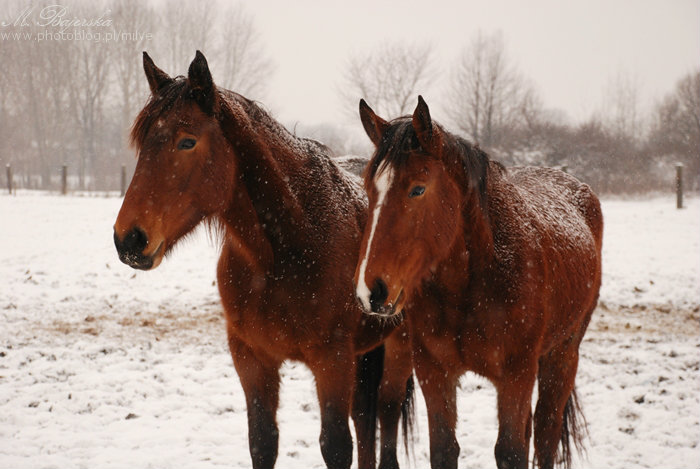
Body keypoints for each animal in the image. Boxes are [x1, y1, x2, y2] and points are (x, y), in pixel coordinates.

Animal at [112, 51, 412, 468]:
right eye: (143, 143)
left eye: (187, 141)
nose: (129, 239)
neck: (282, 251)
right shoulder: (252, 358)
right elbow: (263, 441)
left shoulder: (333, 360)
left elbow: (336, 446)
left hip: (398, 350)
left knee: (384, 419)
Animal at [352, 96, 604, 468]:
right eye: (369, 190)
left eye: (417, 189)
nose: (371, 290)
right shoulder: (434, 372)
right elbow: (445, 449)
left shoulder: (516, 375)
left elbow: (511, 451)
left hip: (563, 353)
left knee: (546, 431)